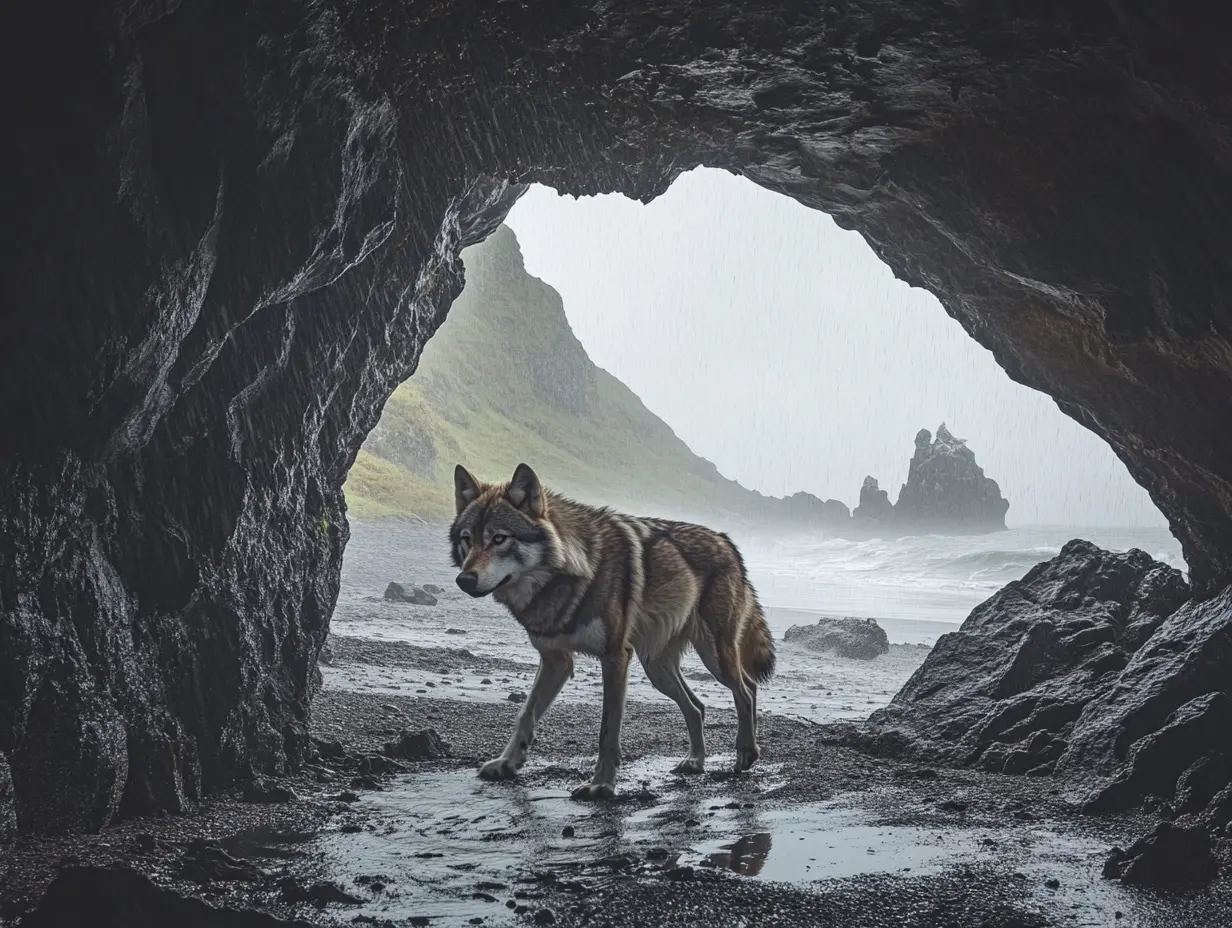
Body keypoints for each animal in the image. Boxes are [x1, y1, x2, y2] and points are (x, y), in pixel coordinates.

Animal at [450, 462, 776, 799]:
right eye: (467, 539)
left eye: (500, 539)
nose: (465, 579)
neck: (567, 575)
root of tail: (727, 542)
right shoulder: (555, 661)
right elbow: (525, 714)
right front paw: (507, 763)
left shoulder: (615, 657)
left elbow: (607, 730)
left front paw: (601, 785)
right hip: (657, 670)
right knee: (698, 707)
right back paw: (695, 761)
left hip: (714, 657)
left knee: (747, 689)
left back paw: (746, 752)